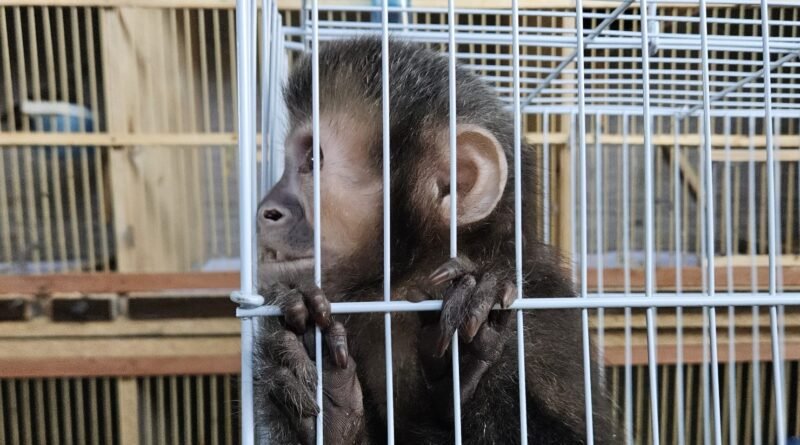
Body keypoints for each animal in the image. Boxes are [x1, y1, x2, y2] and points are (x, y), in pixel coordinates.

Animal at [253, 36, 619, 444]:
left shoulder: (542, 309)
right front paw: (326, 396)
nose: (267, 209)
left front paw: (467, 358)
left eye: (312, 160)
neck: (410, 281)